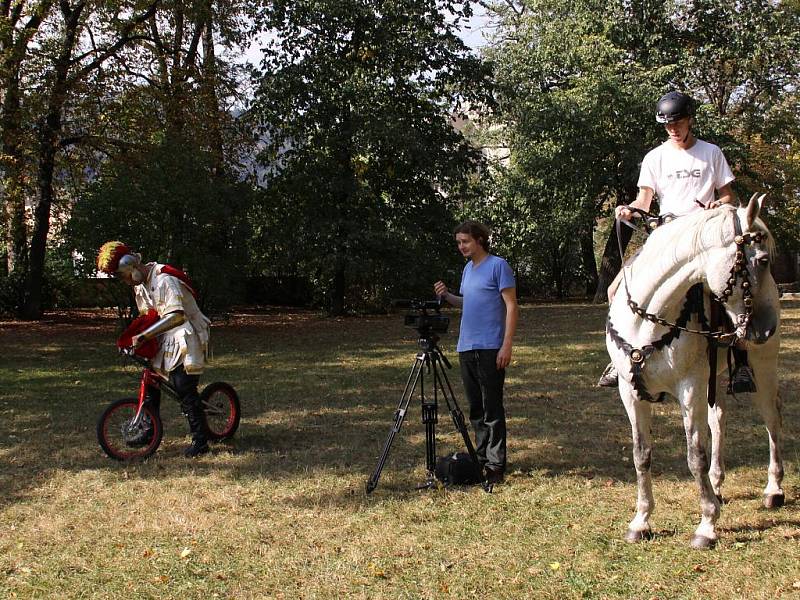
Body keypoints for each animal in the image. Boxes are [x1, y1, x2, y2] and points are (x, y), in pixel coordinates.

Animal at [608, 196, 780, 548]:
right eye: (763, 259)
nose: (767, 327)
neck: (649, 318)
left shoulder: (690, 387)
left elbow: (695, 455)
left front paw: (707, 525)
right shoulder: (630, 392)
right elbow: (641, 455)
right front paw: (641, 521)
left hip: (764, 368)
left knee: (772, 420)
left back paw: (774, 489)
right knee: (719, 419)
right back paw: (718, 484)